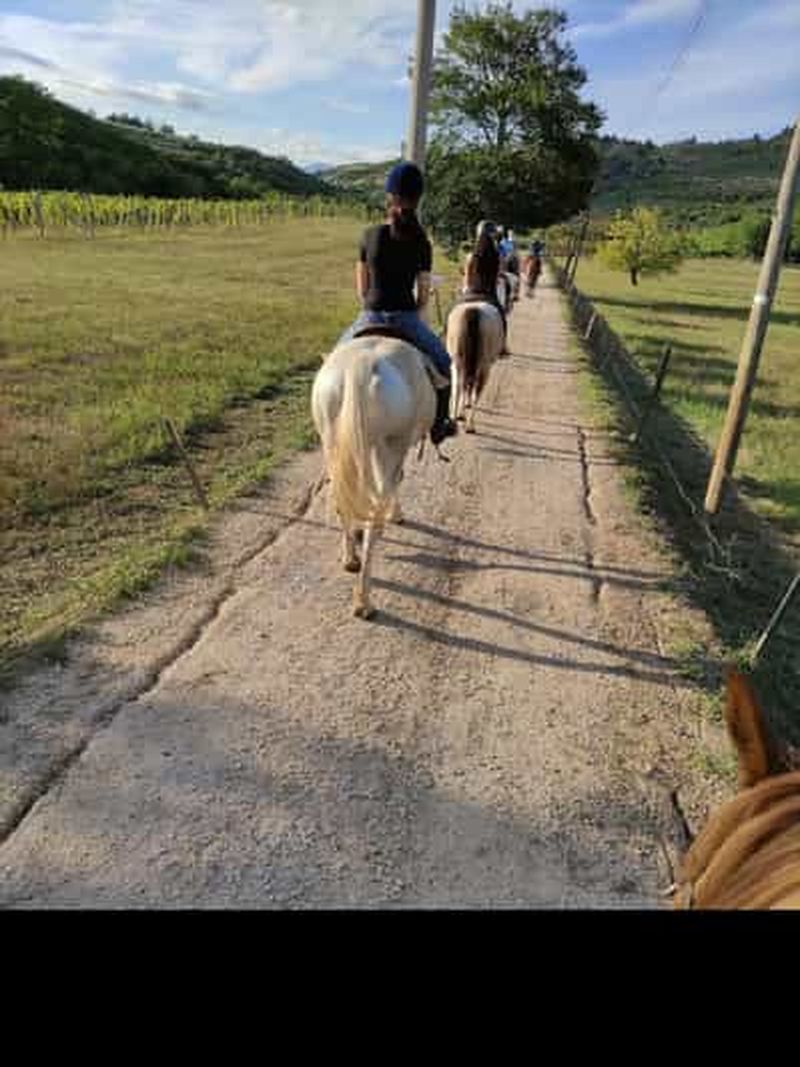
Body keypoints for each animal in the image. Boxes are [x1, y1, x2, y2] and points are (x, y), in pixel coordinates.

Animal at [311, 334, 436, 619]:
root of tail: (360, 364)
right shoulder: (389, 448)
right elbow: (396, 481)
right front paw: (397, 514)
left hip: (334, 443)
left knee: (343, 502)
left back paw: (351, 560)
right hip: (390, 444)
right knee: (375, 514)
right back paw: (364, 602)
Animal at [446, 302, 504, 434]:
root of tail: (473, 310)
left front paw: (461, 412)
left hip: (457, 362)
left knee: (459, 387)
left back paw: (456, 420)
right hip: (483, 367)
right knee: (472, 392)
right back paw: (469, 425)